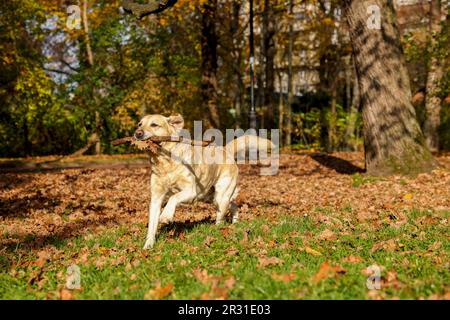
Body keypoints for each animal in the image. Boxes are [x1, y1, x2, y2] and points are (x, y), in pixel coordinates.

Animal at [134, 114, 274, 249]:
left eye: (154, 124)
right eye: (139, 124)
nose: (137, 133)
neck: (165, 162)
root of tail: (225, 150)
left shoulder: (190, 192)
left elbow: (173, 198)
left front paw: (166, 216)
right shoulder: (156, 198)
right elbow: (152, 225)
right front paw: (148, 245)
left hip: (220, 195)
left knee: (221, 215)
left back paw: (218, 230)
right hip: (209, 196)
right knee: (233, 204)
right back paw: (235, 222)